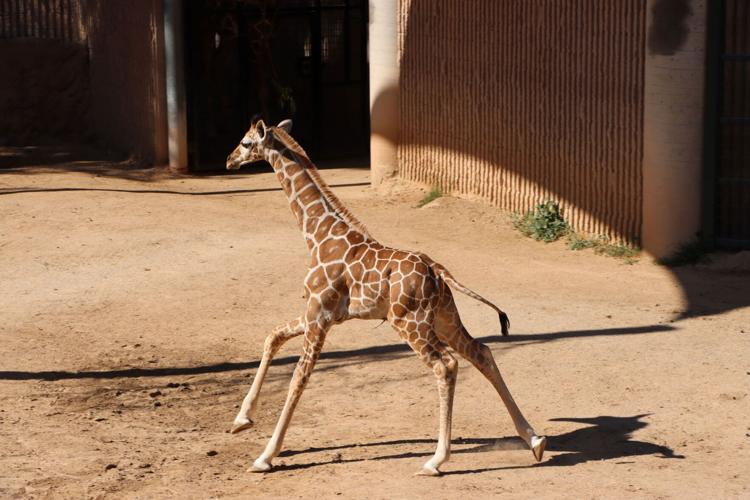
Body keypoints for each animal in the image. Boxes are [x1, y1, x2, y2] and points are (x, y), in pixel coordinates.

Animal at [225, 118, 547, 476]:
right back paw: (534, 440)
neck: (317, 234)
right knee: (482, 353)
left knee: (446, 365)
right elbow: (273, 337)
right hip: (444, 318)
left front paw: (265, 456)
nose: (228, 160)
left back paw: (436, 460)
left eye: (245, 142)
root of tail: (438, 271)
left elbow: (299, 377)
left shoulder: (319, 315)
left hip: (409, 323)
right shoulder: (317, 312)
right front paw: (241, 420)